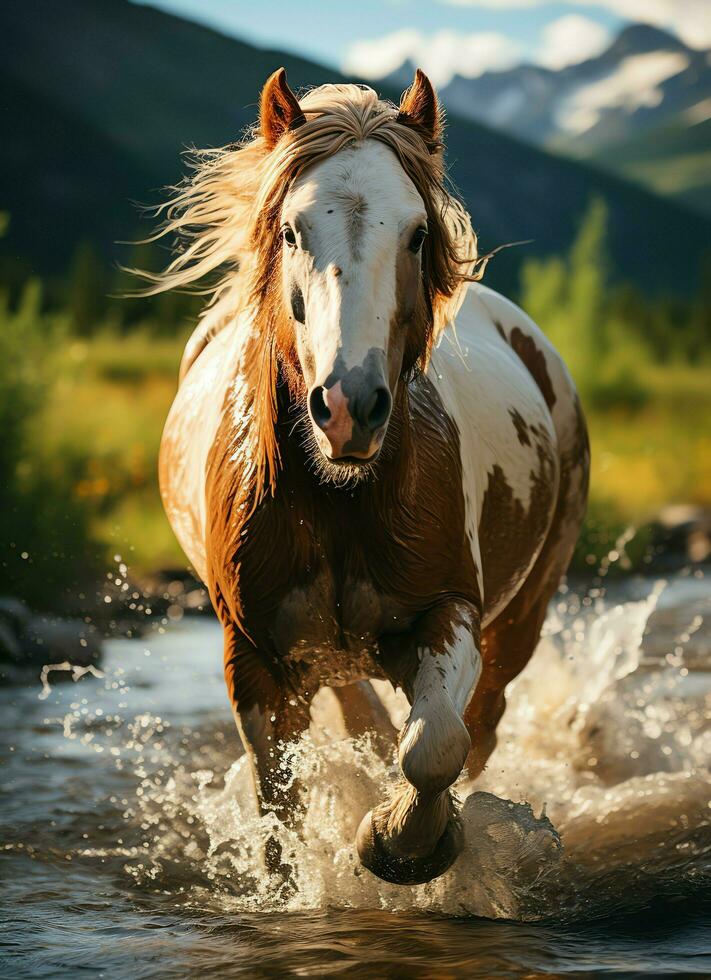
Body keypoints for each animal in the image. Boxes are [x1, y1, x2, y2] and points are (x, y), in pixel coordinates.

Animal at [149, 69, 588, 888]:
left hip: (524, 612)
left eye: (415, 233)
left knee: (478, 727)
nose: (348, 407)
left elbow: (435, 746)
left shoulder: (449, 611)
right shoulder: (252, 659)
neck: (336, 504)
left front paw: (399, 845)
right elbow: (279, 804)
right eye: (292, 230)